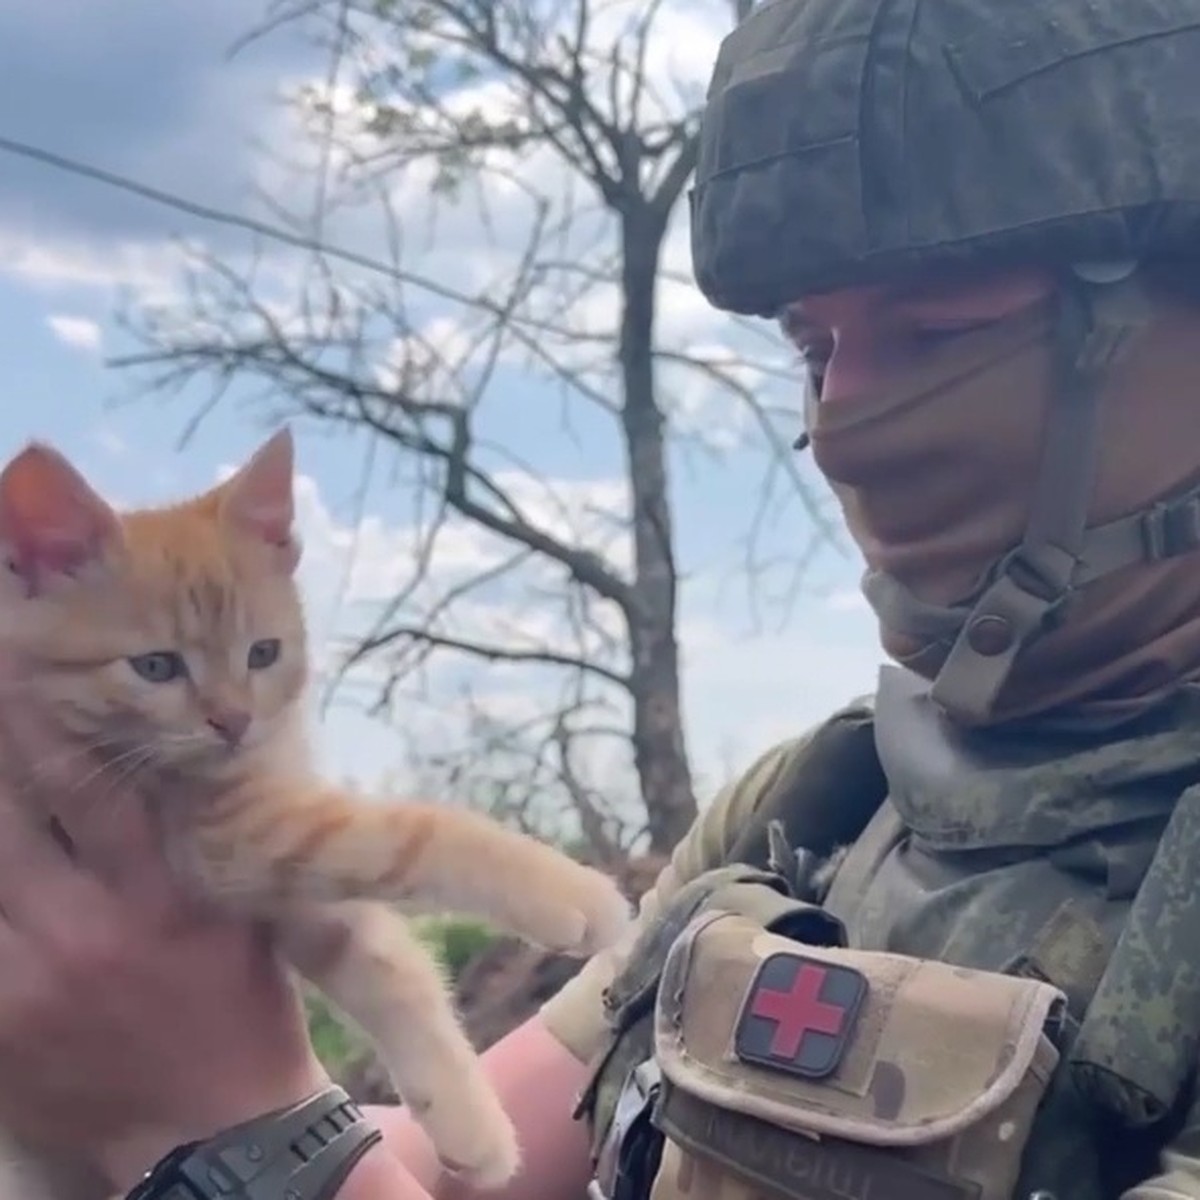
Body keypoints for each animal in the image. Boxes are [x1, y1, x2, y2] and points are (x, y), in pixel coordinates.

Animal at [0, 434, 628, 1200]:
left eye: (262, 653)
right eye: (155, 667)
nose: (234, 721)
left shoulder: (279, 889)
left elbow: (383, 960)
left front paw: (470, 1126)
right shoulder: (223, 836)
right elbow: (409, 836)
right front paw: (569, 890)